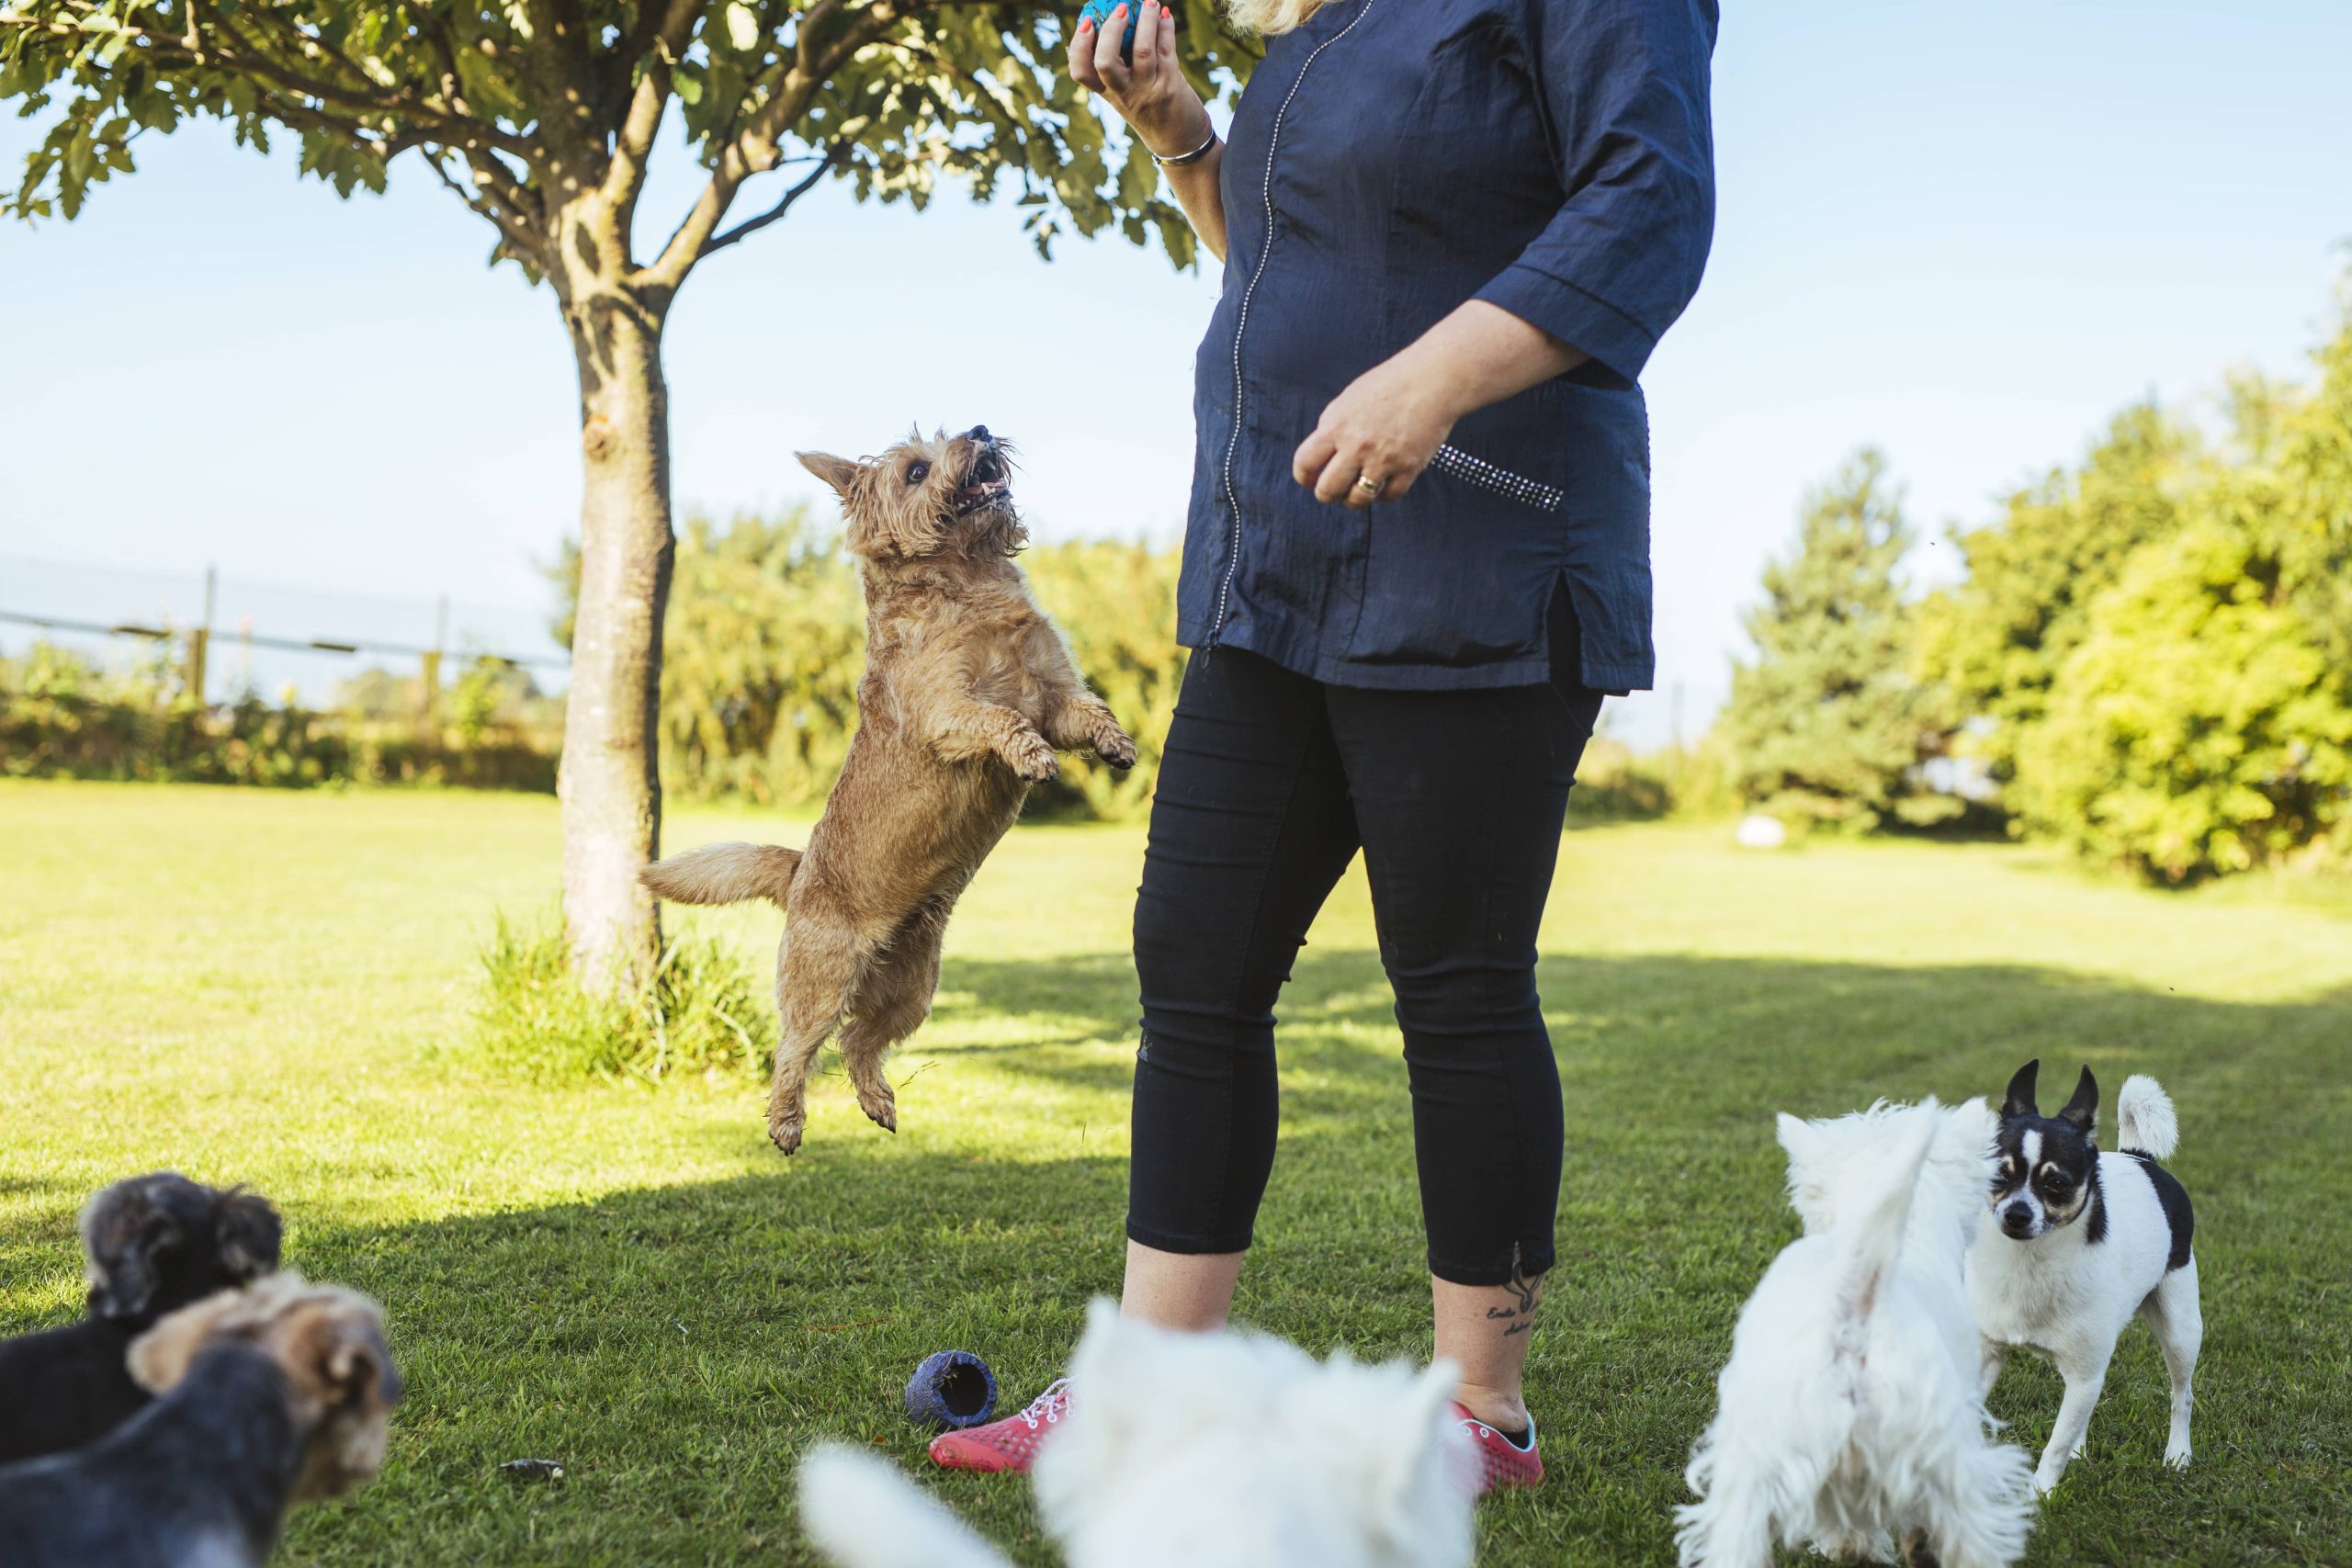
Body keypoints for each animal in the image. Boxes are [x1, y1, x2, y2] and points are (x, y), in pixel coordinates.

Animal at [635, 425, 1128, 1152]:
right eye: (916, 470)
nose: (980, 430)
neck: (969, 584)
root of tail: (800, 872)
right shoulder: (950, 711)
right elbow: (1002, 721)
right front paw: (1033, 757)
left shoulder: (1055, 692)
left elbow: (1087, 711)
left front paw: (1117, 743)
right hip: (823, 977)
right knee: (798, 1046)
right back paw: (785, 1121)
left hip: (912, 989)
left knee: (858, 1042)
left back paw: (877, 1101)